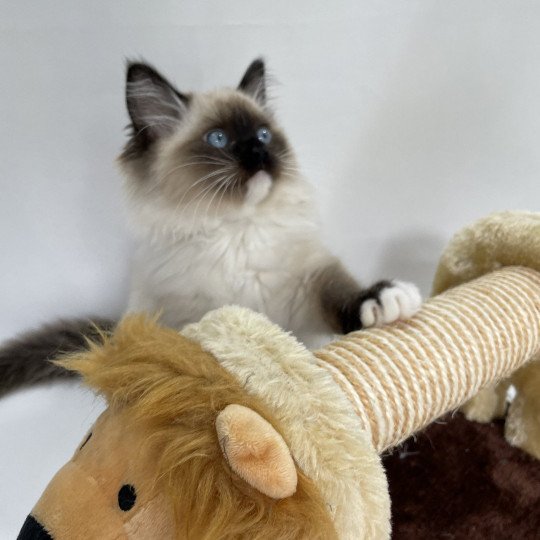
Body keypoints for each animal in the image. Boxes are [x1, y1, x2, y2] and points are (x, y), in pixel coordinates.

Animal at [0, 58, 422, 392]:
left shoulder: (307, 280)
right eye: (218, 139)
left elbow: (343, 293)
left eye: (263, 134)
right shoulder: (189, 316)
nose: (259, 152)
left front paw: (384, 300)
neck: (235, 231)